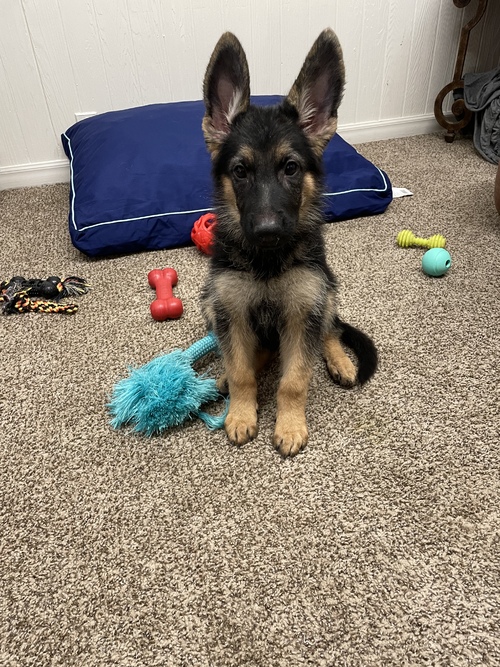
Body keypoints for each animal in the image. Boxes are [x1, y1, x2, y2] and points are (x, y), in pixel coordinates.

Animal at [200, 28, 377, 456]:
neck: (267, 262)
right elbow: (242, 370)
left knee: (329, 332)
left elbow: (294, 379)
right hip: (210, 302)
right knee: (255, 354)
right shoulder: (232, 312)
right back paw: (226, 377)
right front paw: (241, 413)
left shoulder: (302, 313)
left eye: (291, 168)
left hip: (326, 292)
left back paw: (340, 361)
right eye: (240, 171)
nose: (266, 231)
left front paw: (291, 425)